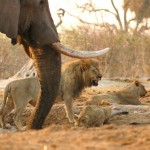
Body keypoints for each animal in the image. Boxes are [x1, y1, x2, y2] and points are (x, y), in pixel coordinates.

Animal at [0, 0, 109, 129]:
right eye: (93, 70)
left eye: (98, 68)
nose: (100, 76)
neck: (79, 77)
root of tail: (10, 83)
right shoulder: (68, 95)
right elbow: (69, 109)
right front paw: (72, 121)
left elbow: (72, 109)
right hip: (21, 102)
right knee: (15, 115)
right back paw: (22, 128)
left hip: (11, 101)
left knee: (3, 112)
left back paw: (5, 126)